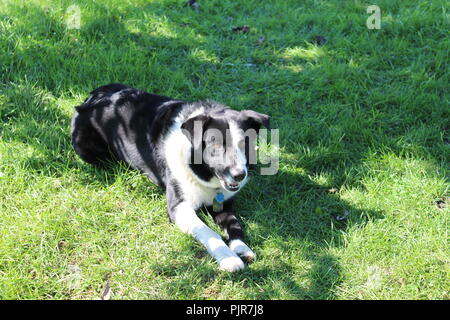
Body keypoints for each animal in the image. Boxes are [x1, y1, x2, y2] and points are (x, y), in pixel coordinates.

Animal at [70, 84, 268, 272]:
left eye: (245, 143)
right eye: (216, 145)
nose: (240, 175)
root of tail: (91, 97)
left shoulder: (223, 203)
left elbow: (235, 224)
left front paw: (241, 248)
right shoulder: (178, 207)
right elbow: (209, 232)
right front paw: (228, 257)